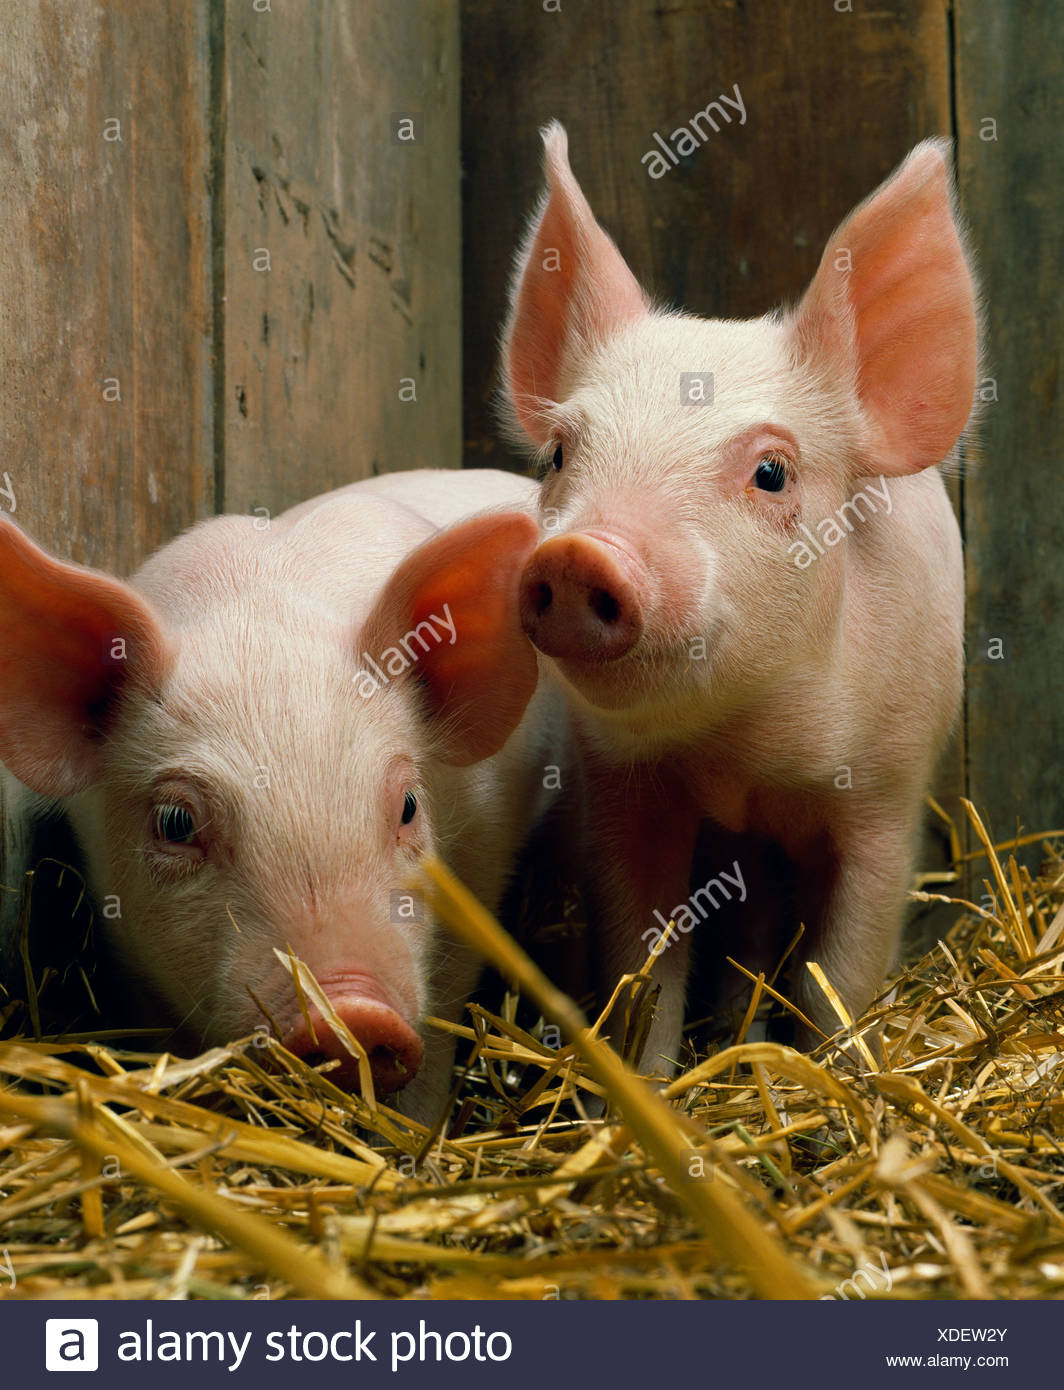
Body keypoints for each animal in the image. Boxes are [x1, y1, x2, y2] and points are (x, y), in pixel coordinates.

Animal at [501, 124, 977, 1071]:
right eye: (560, 455)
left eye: (772, 472)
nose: (578, 554)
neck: (744, 755)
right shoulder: (624, 787)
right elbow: (645, 960)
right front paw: (647, 1080)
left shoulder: (889, 789)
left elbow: (843, 968)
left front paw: (836, 1073)